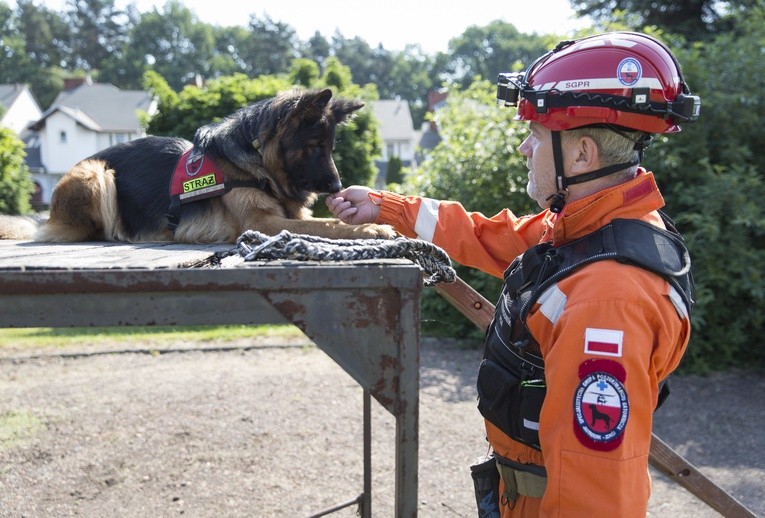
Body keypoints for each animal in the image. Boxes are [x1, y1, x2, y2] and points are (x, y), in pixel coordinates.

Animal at [0, 88, 394, 243]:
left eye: (330, 148)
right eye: (314, 147)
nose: (338, 188)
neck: (257, 164)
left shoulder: (288, 215)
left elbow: (328, 222)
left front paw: (365, 222)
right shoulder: (262, 223)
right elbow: (326, 226)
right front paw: (373, 229)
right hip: (97, 172)